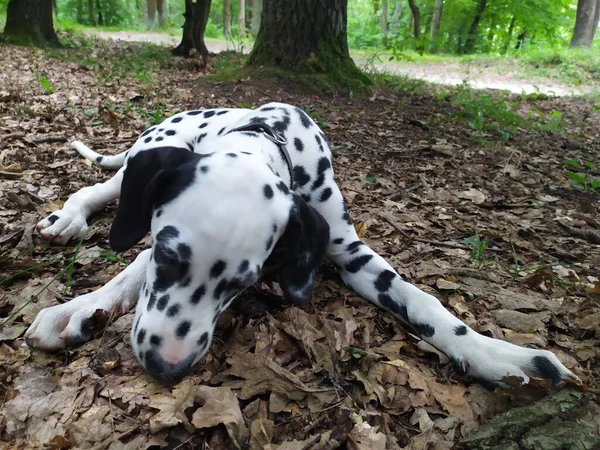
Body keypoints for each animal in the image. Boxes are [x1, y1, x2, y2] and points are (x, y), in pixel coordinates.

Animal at [25, 102, 580, 386]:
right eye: (168, 255)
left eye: (242, 283)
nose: (167, 367)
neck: (265, 136)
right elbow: (134, 262)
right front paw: (78, 307)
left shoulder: (351, 253)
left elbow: (423, 301)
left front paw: (494, 353)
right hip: (150, 156)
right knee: (102, 189)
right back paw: (68, 218)